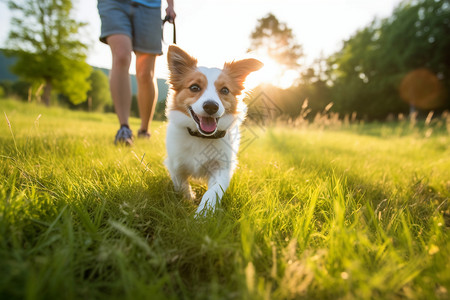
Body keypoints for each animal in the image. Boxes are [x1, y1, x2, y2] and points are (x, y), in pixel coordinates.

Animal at [164, 45, 264, 216]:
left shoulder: (222, 167)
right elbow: (181, 184)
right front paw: (188, 200)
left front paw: (203, 213)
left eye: (225, 90)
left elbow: (213, 192)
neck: (202, 137)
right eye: (194, 87)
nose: (211, 106)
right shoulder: (175, 163)